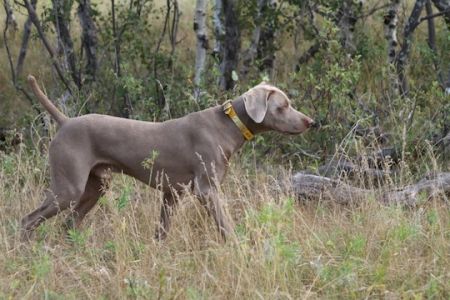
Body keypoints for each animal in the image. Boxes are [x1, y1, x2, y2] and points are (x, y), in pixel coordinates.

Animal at [21, 75, 314, 241]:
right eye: (283, 106)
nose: (311, 122)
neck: (229, 124)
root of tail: (65, 121)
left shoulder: (172, 194)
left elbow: (162, 231)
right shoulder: (206, 190)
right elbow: (225, 226)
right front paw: (238, 248)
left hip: (96, 186)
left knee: (68, 223)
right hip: (68, 188)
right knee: (29, 220)